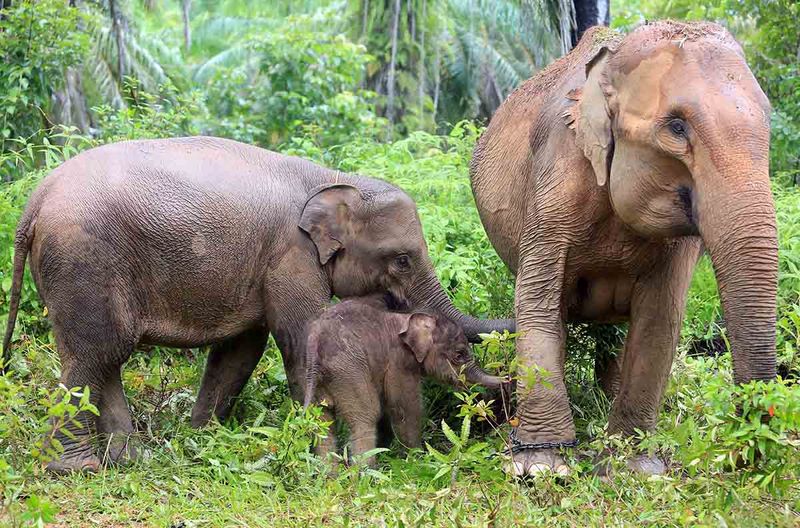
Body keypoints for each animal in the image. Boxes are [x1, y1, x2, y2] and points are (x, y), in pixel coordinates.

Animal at [304, 296, 504, 466]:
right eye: (459, 354)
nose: (507, 379)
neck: (406, 319)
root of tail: (315, 347)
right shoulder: (398, 363)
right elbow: (406, 408)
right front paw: (417, 459)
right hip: (348, 372)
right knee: (366, 416)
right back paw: (364, 475)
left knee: (322, 422)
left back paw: (329, 478)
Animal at [472, 20, 780, 476]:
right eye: (677, 127)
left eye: (768, 123)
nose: (741, 456)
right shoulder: (556, 174)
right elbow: (537, 300)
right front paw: (542, 467)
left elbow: (659, 318)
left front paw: (633, 467)